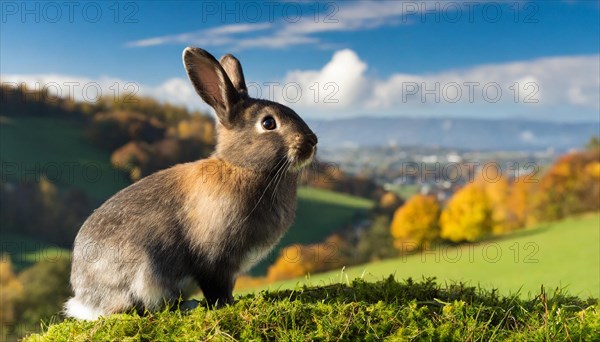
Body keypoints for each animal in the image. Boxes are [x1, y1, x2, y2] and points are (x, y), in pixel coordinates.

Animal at [64, 46, 318, 320]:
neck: (243, 166)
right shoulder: (215, 260)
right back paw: (187, 306)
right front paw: (227, 305)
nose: (312, 141)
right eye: (268, 123)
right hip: (143, 273)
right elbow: (216, 287)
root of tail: (85, 301)